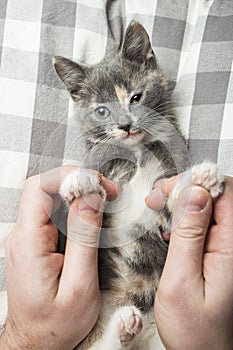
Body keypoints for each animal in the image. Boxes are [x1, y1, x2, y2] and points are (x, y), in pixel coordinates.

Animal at [53, 21, 224, 350]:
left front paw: (198, 180)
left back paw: (125, 327)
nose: (126, 125)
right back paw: (122, 328)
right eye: (102, 111)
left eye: (136, 97)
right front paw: (81, 181)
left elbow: (170, 209)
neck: (137, 152)